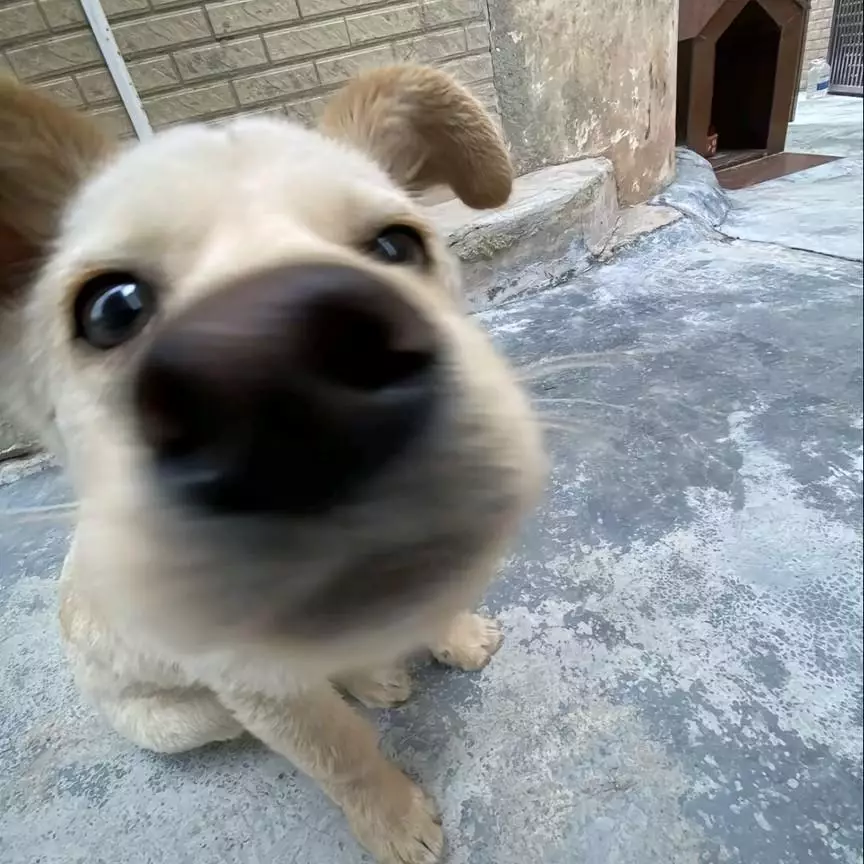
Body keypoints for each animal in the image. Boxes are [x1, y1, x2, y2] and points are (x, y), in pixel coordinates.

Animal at [0, 65, 544, 863]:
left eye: (395, 245)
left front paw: (454, 635)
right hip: (183, 720)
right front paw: (394, 823)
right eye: (111, 309)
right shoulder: (256, 683)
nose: (280, 373)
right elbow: (340, 751)